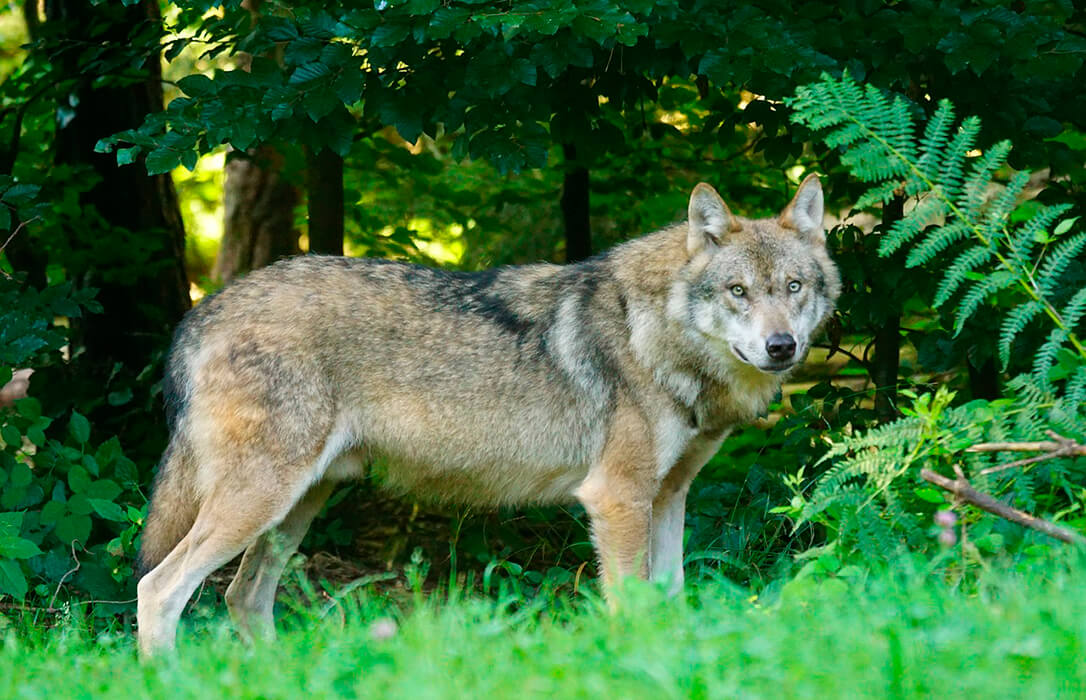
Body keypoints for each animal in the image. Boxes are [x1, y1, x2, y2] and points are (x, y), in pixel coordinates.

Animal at [137, 173, 838, 651]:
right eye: (738, 292)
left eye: (793, 288)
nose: (781, 346)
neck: (655, 333)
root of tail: (203, 311)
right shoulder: (617, 499)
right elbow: (631, 609)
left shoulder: (668, 497)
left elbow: (671, 601)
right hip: (260, 503)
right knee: (158, 589)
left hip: (295, 508)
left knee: (243, 598)